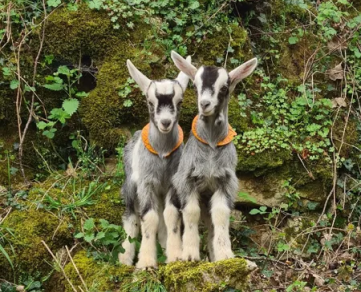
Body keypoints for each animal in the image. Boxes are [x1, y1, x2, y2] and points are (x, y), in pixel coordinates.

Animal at [118, 57, 191, 270]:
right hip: (131, 186)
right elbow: (148, 218)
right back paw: (125, 258)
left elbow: (171, 215)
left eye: (179, 102)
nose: (165, 122)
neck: (162, 154)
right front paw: (146, 263)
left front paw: (175, 255)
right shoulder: (146, 182)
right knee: (132, 217)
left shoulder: (174, 182)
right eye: (150, 102)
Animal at [167, 52, 258, 262]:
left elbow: (221, 216)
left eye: (224, 87)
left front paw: (225, 255)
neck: (210, 144)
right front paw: (190, 255)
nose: (204, 104)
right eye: (195, 86)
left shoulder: (225, 181)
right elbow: (191, 213)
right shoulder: (187, 180)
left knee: (210, 228)